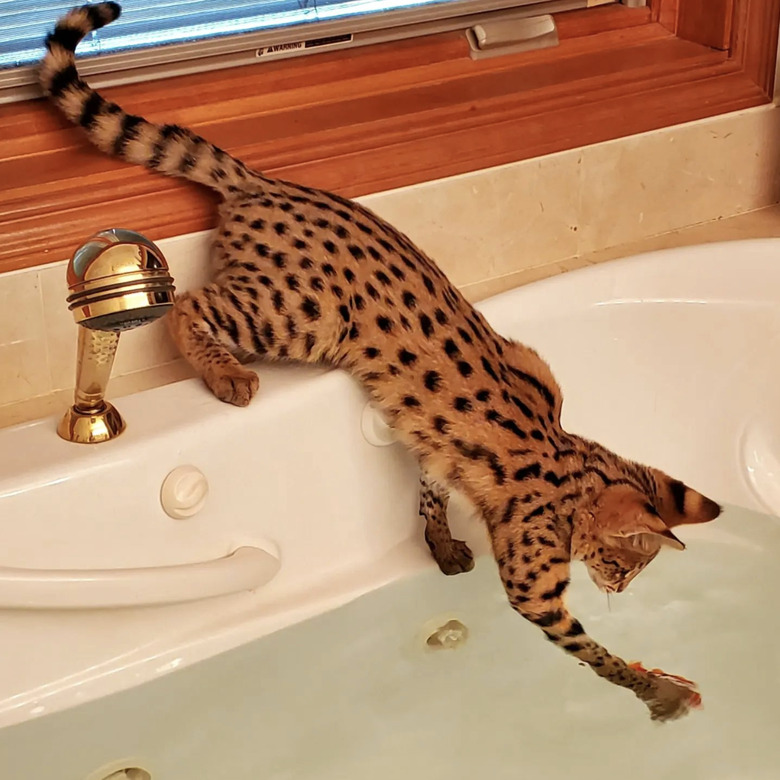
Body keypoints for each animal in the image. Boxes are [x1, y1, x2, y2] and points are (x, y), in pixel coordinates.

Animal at [39, 1, 724, 720]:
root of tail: (260, 182)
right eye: (623, 566)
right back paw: (227, 374)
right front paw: (660, 691)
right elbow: (598, 655)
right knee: (187, 302)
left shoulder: (485, 405)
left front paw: (442, 543)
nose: (618, 589)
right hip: (303, 314)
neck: (572, 464)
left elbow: (430, 487)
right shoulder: (533, 586)